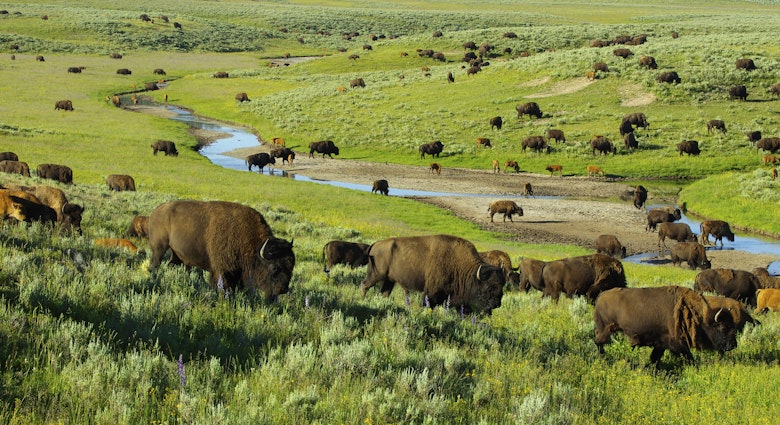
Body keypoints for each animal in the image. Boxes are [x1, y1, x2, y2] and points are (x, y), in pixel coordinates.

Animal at [147, 200, 295, 301]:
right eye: (274, 267)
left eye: (291, 267)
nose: (282, 289)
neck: (252, 245)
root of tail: (156, 211)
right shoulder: (222, 272)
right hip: (159, 249)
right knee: (155, 264)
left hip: (176, 255)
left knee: (171, 264)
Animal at [360, 234, 505, 313]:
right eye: (487, 287)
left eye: (501, 287)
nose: (497, 304)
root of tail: (375, 244)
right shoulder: (431, 293)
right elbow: (428, 304)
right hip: (376, 275)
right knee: (364, 285)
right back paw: (362, 300)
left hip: (389, 280)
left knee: (384, 292)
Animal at [594, 286, 738, 365]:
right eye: (724, 327)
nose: (733, 345)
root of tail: (600, 296)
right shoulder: (677, 344)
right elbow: (689, 357)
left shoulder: (661, 344)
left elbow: (655, 357)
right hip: (605, 329)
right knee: (598, 342)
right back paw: (604, 357)